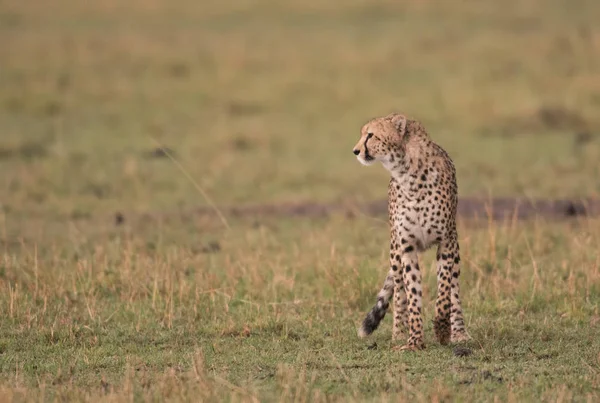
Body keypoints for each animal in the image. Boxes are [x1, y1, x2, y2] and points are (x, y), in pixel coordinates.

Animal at [352, 112, 474, 352]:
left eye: (370, 135)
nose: (356, 150)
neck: (407, 172)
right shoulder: (406, 246)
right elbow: (412, 294)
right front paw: (414, 341)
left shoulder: (446, 242)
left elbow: (444, 292)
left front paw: (442, 330)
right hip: (395, 253)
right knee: (399, 293)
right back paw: (399, 333)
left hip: (455, 250)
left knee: (454, 290)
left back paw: (459, 332)